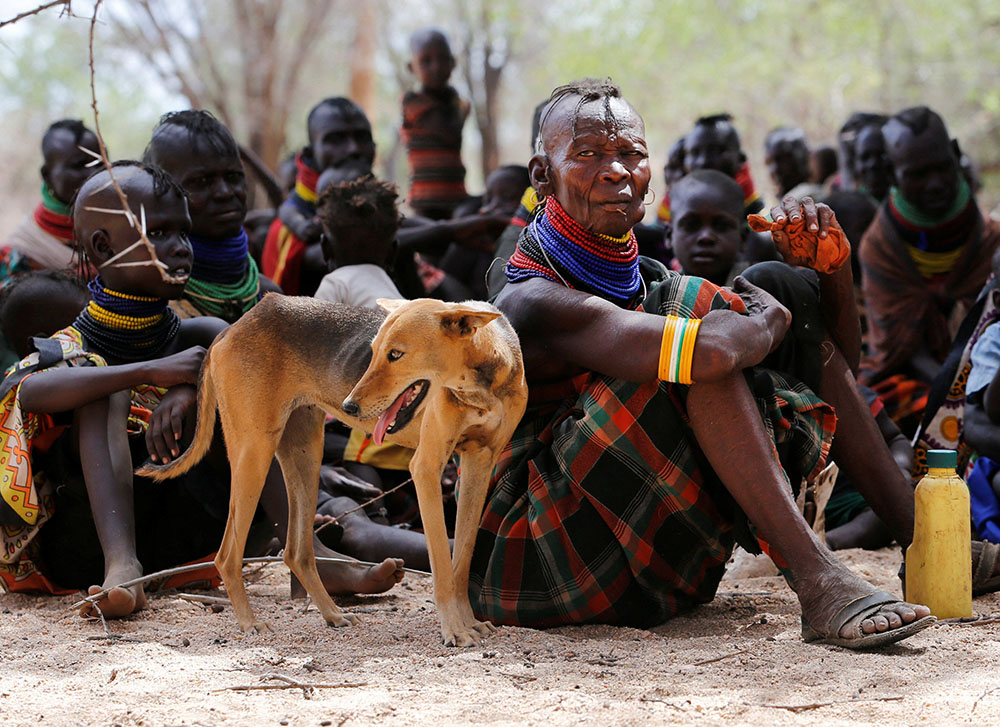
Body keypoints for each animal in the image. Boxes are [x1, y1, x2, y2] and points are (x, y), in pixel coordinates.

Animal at [143, 292, 532, 644]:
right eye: (373, 351)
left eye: (395, 354)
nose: (349, 406)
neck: (481, 383)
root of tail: (235, 326)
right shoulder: (426, 467)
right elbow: (441, 564)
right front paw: (454, 630)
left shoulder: (479, 463)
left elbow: (461, 560)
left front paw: (469, 622)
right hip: (254, 452)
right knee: (227, 556)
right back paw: (250, 622)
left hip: (304, 453)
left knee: (296, 552)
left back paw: (332, 614)